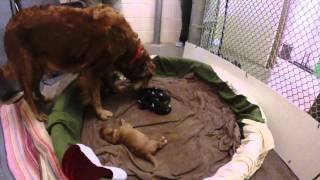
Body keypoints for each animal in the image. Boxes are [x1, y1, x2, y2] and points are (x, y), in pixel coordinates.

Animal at [3, 5, 156, 121]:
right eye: (148, 77)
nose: (145, 91)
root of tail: (9, 23)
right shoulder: (92, 70)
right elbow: (96, 95)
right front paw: (101, 112)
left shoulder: (105, 65)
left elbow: (109, 79)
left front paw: (116, 88)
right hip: (27, 66)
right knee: (27, 93)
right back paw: (38, 114)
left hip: (39, 65)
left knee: (35, 85)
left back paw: (42, 98)